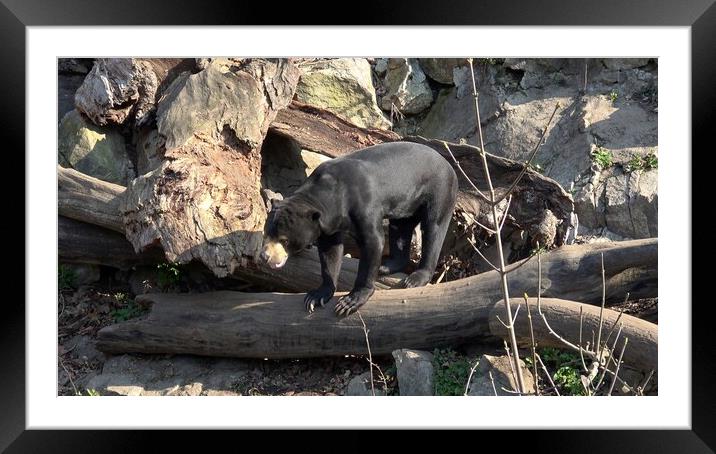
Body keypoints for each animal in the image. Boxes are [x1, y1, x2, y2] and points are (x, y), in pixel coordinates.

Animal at [262, 140, 458, 314]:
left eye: (284, 240)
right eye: (266, 233)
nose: (265, 256)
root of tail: (450, 166)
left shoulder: (364, 206)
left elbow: (373, 242)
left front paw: (349, 302)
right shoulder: (328, 225)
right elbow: (330, 252)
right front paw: (317, 296)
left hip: (439, 191)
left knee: (433, 229)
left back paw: (414, 279)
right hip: (406, 203)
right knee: (400, 228)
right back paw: (387, 266)